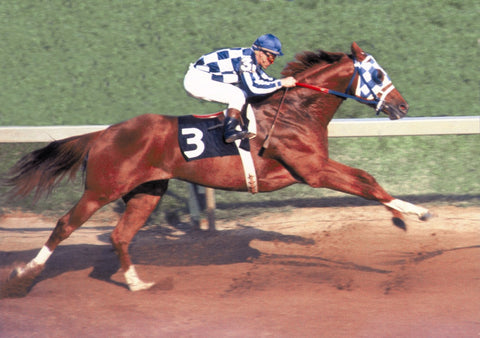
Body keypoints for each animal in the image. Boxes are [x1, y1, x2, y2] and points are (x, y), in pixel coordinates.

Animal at [0, 43, 432, 296]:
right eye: (377, 74)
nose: (403, 107)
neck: (295, 111)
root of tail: (102, 133)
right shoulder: (313, 170)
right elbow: (366, 183)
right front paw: (415, 213)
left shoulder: (314, 167)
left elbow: (368, 179)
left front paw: (404, 216)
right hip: (102, 189)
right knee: (64, 226)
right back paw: (24, 276)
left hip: (147, 191)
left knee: (121, 235)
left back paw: (138, 283)